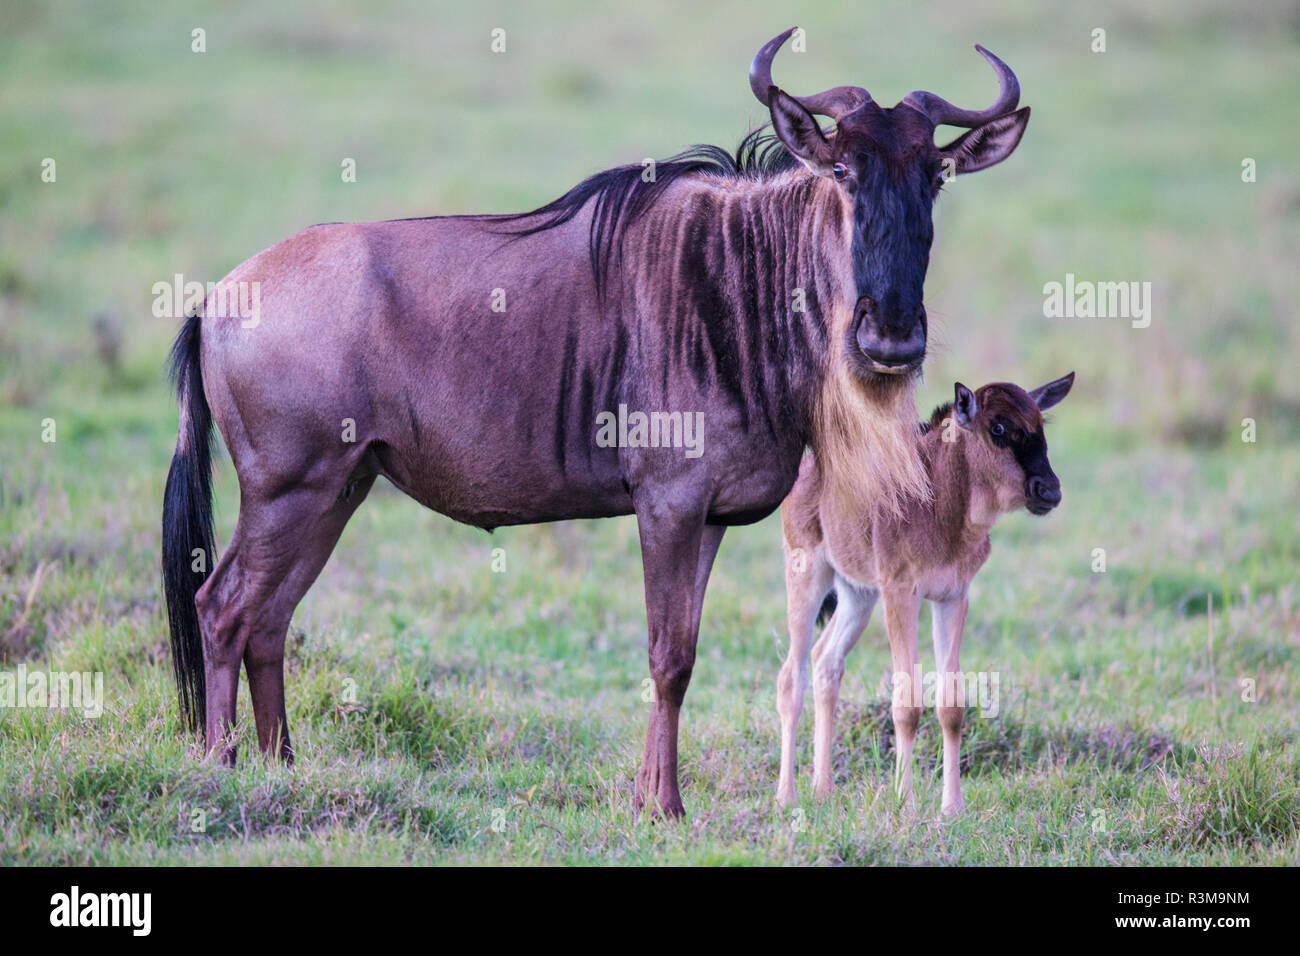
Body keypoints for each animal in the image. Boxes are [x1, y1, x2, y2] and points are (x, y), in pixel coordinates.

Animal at [774, 369, 1071, 811]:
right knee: (791, 676)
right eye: (999, 428)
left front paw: (952, 806)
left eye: (1040, 425)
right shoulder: (901, 593)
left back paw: (823, 789)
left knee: (826, 662)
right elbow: (907, 703)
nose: (1049, 490)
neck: (940, 503)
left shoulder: (953, 597)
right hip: (807, 572)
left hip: (858, 594)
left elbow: (951, 704)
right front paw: (906, 803)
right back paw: (786, 795)